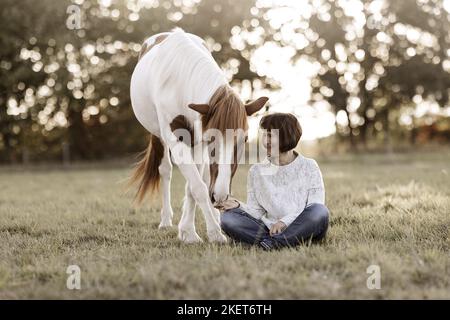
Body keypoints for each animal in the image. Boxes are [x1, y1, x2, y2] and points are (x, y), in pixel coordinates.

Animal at [128, 28, 268, 244]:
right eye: (212, 139)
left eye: (244, 140)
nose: (221, 196)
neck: (179, 81)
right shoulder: (177, 140)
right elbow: (198, 187)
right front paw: (211, 234)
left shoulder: (199, 144)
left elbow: (193, 187)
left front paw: (188, 230)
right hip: (158, 135)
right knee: (165, 171)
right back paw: (166, 220)